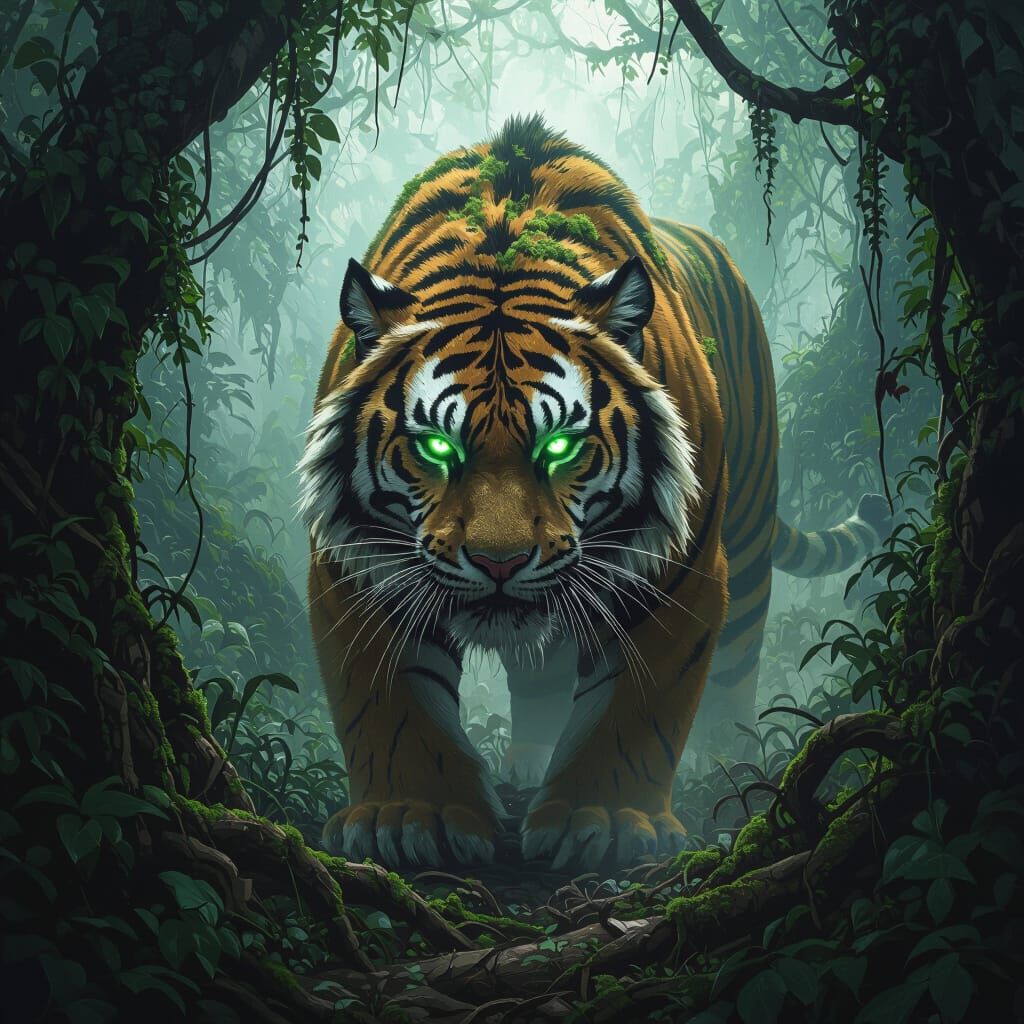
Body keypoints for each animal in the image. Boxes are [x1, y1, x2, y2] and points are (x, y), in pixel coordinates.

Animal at [299, 115, 886, 871]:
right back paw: (528, 762)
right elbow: (390, 705)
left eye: (559, 448)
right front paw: (408, 818)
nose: (498, 563)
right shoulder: (354, 564)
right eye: (436, 448)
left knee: (736, 667)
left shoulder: (679, 569)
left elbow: (637, 708)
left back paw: (731, 767)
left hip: (752, 531)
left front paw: (604, 823)